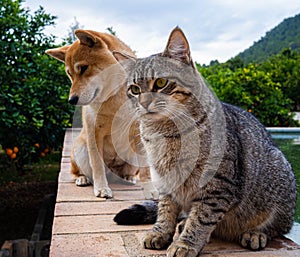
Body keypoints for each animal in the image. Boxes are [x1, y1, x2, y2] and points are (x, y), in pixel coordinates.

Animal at [46, 30, 157, 198]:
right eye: (69, 74)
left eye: (83, 68)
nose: (71, 100)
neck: (114, 97)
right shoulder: (94, 132)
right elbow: (97, 164)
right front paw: (101, 188)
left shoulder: (139, 131)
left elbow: (145, 169)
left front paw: (150, 189)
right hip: (80, 149)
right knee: (78, 172)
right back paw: (83, 178)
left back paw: (128, 177)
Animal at [113, 27, 298, 255]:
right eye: (135, 89)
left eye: (160, 83)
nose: (144, 103)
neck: (164, 133)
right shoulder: (164, 181)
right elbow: (166, 210)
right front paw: (161, 232)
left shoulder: (216, 186)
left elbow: (201, 219)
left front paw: (185, 244)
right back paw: (183, 223)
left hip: (280, 182)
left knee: (279, 227)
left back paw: (256, 233)